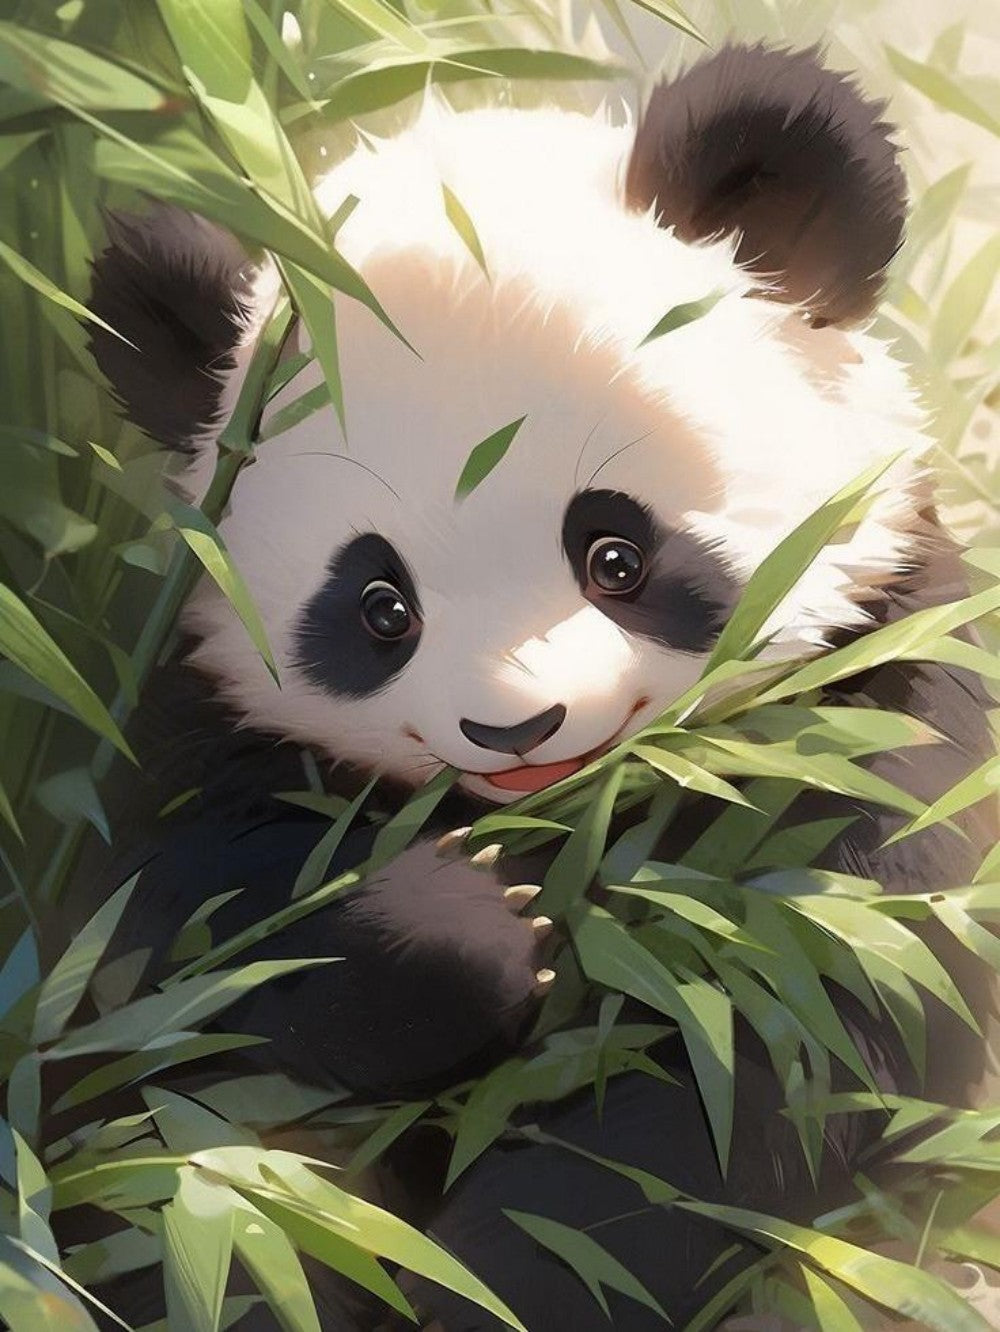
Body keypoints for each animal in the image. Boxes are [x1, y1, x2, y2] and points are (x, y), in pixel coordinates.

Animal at [66, 40, 996, 1332]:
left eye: (615, 555)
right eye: (380, 606)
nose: (517, 728)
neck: (578, 816)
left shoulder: (883, 693)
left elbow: (799, 1028)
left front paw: (506, 1277)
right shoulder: (204, 716)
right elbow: (165, 944)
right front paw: (466, 928)